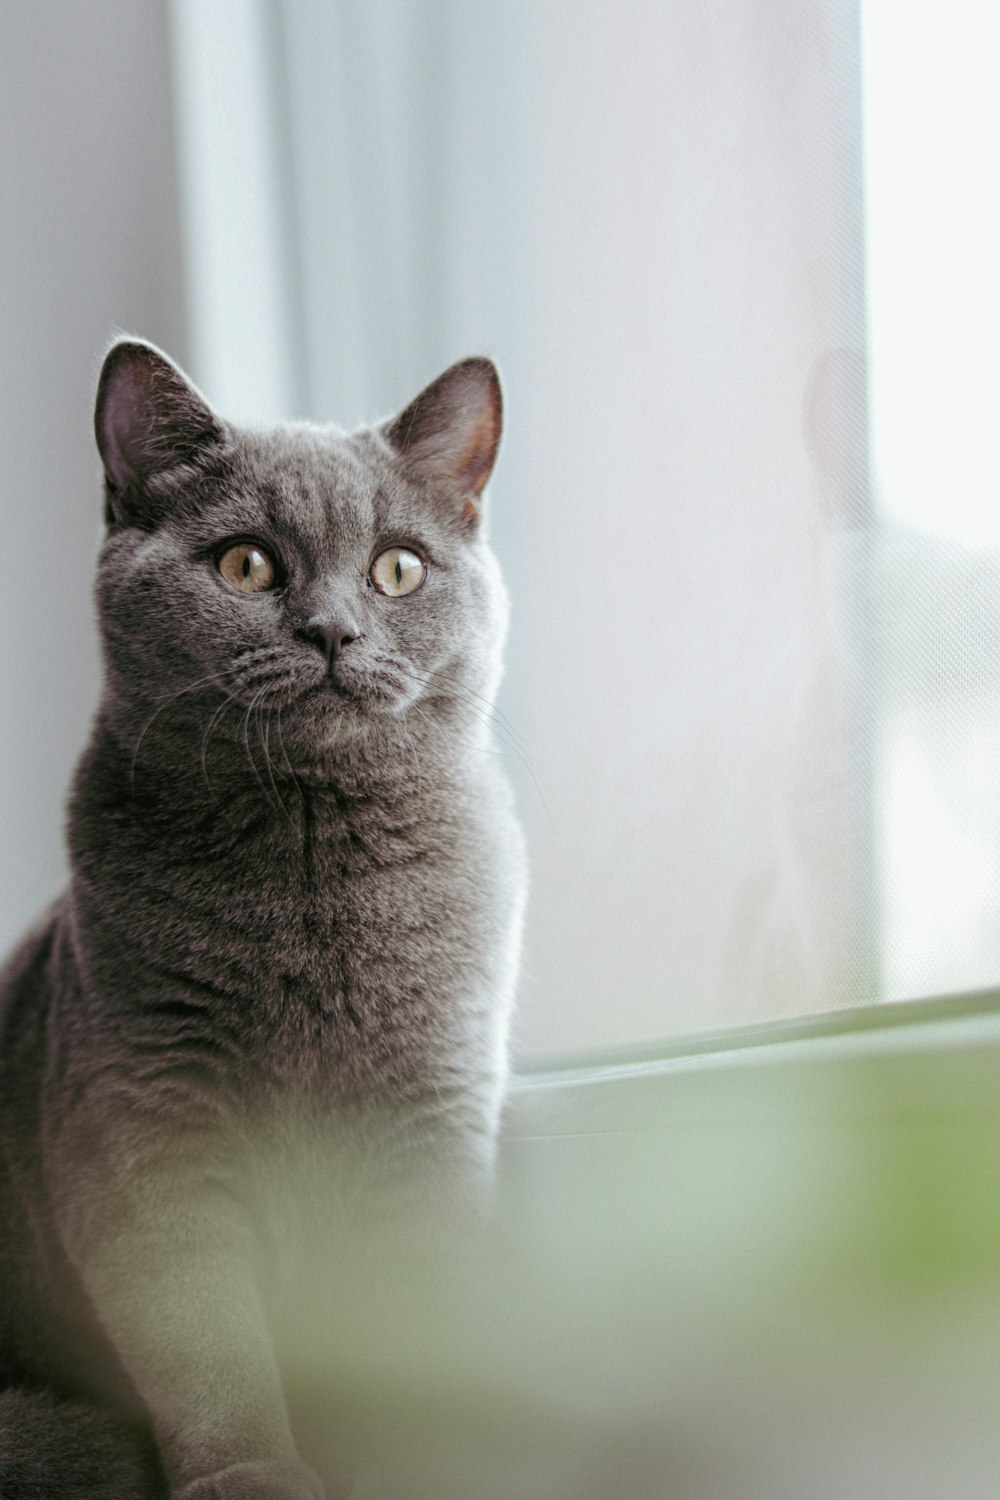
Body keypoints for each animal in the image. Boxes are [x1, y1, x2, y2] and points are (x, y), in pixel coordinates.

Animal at [0, 340, 527, 1500]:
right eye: (246, 566)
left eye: (397, 570)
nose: (332, 630)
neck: (311, 868)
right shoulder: (145, 1128)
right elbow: (205, 1341)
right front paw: (251, 1477)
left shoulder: (432, 1117)